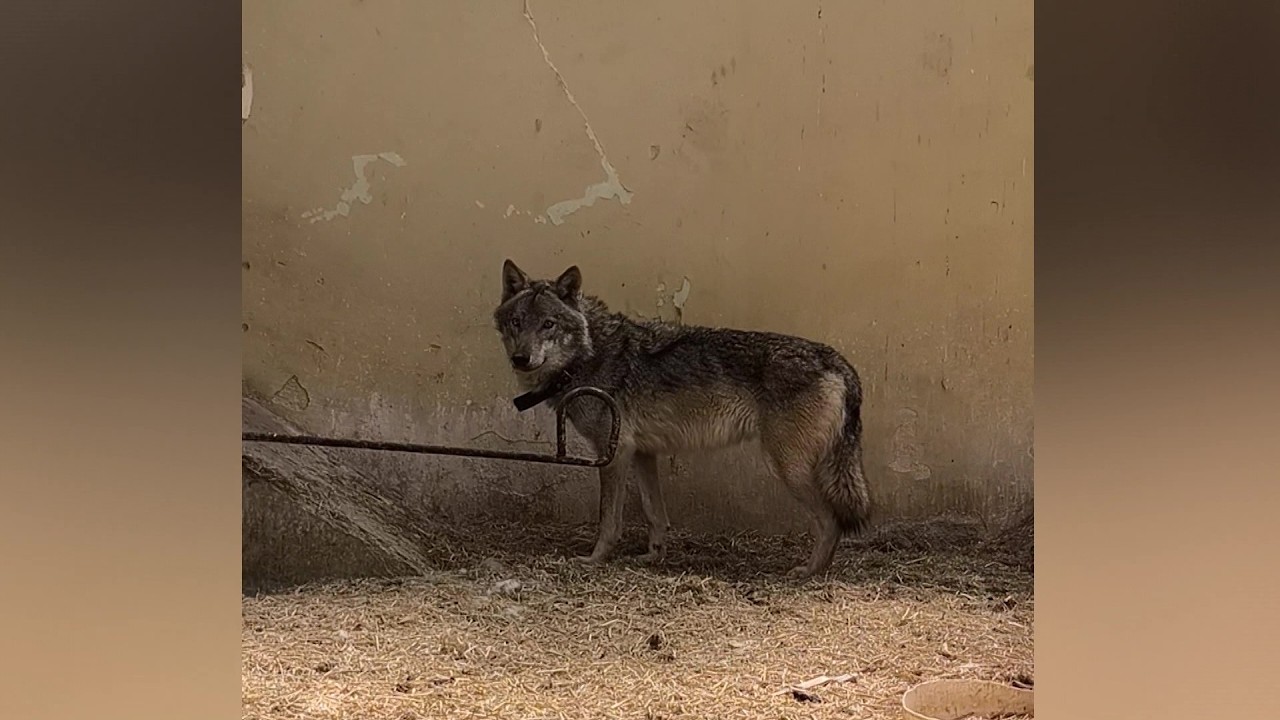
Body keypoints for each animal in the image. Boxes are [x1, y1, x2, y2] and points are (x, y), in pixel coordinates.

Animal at [492, 259, 872, 579]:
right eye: (516, 323)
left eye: (548, 324)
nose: (520, 359)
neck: (587, 356)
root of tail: (839, 362)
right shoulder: (643, 453)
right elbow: (654, 513)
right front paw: (653, 556)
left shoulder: (613, 454)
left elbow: (608, 520)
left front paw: (594, 559)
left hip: (786, 468)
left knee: (831, 521)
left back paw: (810, 572)